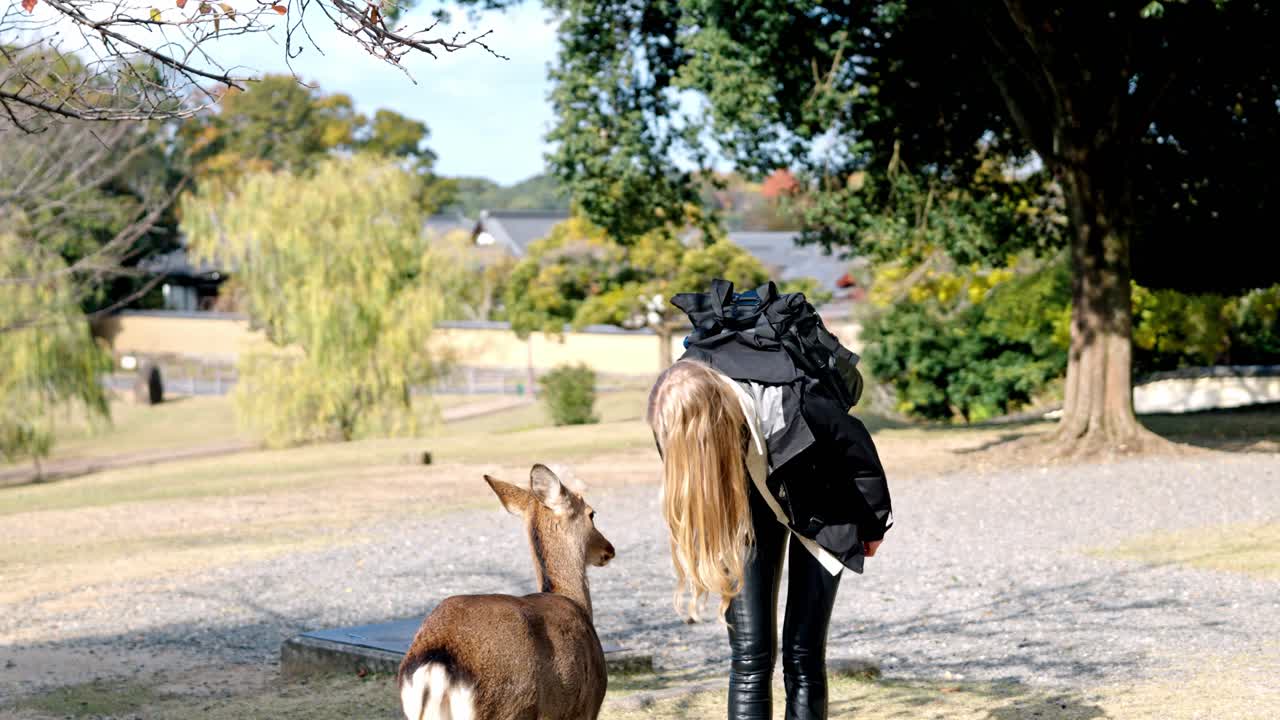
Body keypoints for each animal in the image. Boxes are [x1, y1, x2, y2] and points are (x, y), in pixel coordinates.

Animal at [397, 464, 616, 720]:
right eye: (592, 513)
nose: (608, 549)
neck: (575, 600)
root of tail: (435, 665)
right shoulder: (587, 707)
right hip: (510, 708)